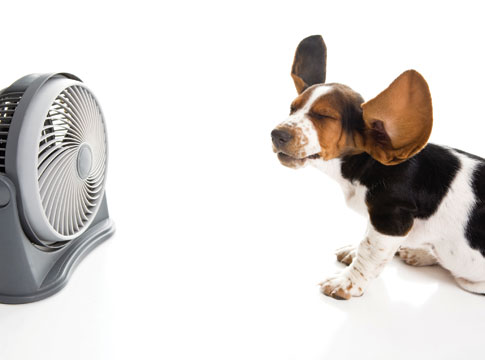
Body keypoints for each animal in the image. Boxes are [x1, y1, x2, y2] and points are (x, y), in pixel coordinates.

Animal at [270, 35, 484, 300]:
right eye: (292, 108)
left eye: (324, 116)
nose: (276, 134)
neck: (370, 165)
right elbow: (367, 239)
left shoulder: (390, 219)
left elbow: (369, 250)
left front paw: (346, 283)